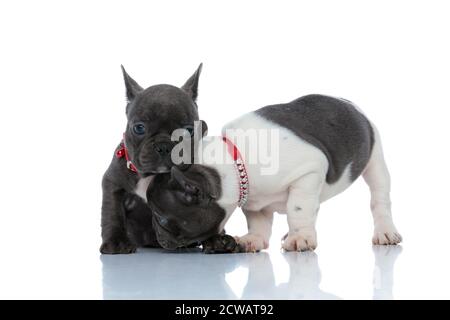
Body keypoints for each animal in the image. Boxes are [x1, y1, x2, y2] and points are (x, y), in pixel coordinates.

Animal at [101, 64, 205, 255]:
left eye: (188, 130)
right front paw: (115, 242)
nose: (164, 146)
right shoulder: (113, 184)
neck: (150, 175)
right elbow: (112, 214)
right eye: (139, 128)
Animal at [146, 94, 402, 251]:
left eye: (161, 218)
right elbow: (258, 221)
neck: (234, 161)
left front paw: (300, 237)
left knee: (379, 199)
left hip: (375, 160)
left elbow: (297, 209)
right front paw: (253, 240)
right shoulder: (253, 201)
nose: (156, 237)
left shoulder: (309, 171)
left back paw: (386, 232)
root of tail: (348, 103)